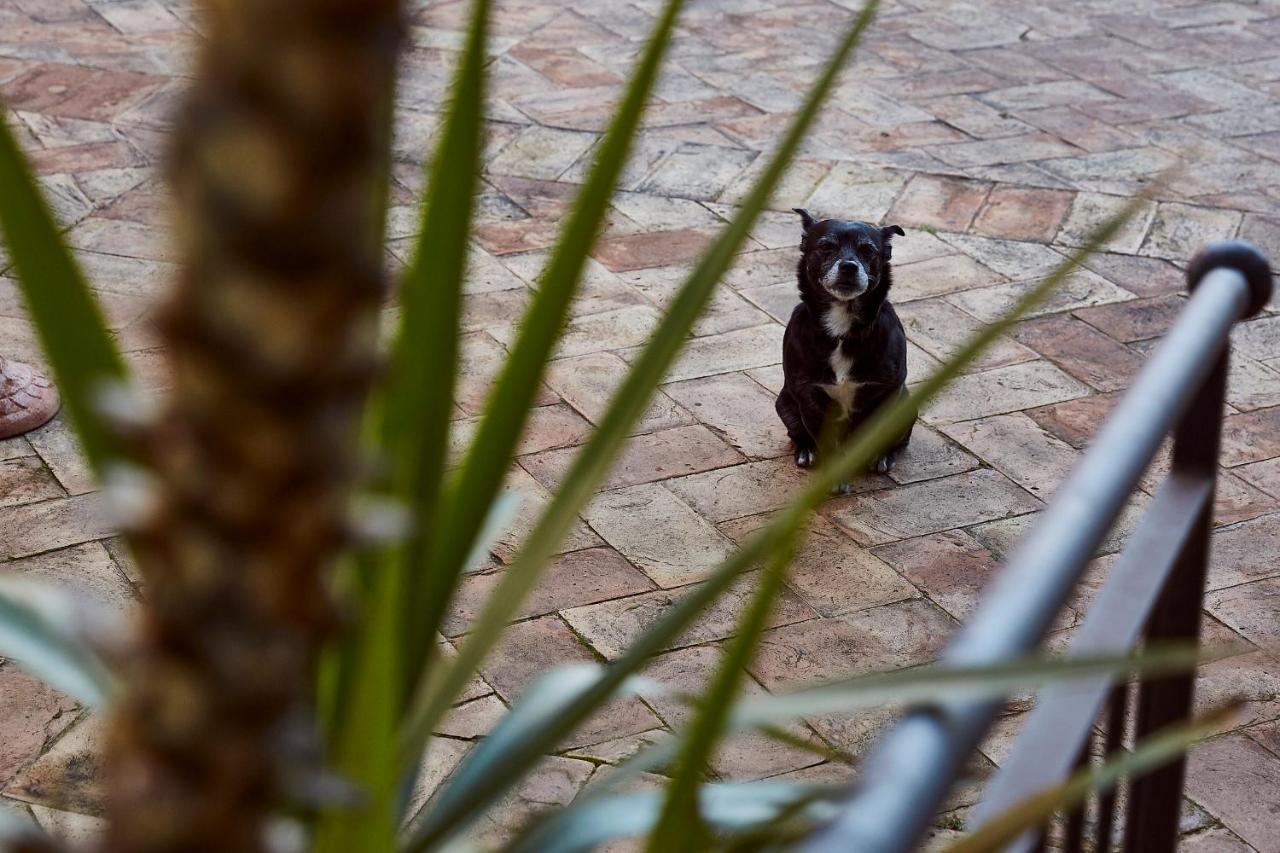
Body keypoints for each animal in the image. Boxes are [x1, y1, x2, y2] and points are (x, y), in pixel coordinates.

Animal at [773, 207, 916, 484]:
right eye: (826, 246)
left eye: (868, 250)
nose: (849, 267)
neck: (842, 329)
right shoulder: (808, 396)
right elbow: (826, 443)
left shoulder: (888, 393)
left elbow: (873, 434)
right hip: (784, 403)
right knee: (798, 434)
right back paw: (806, 450)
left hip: (906, 405)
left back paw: (884, 456)